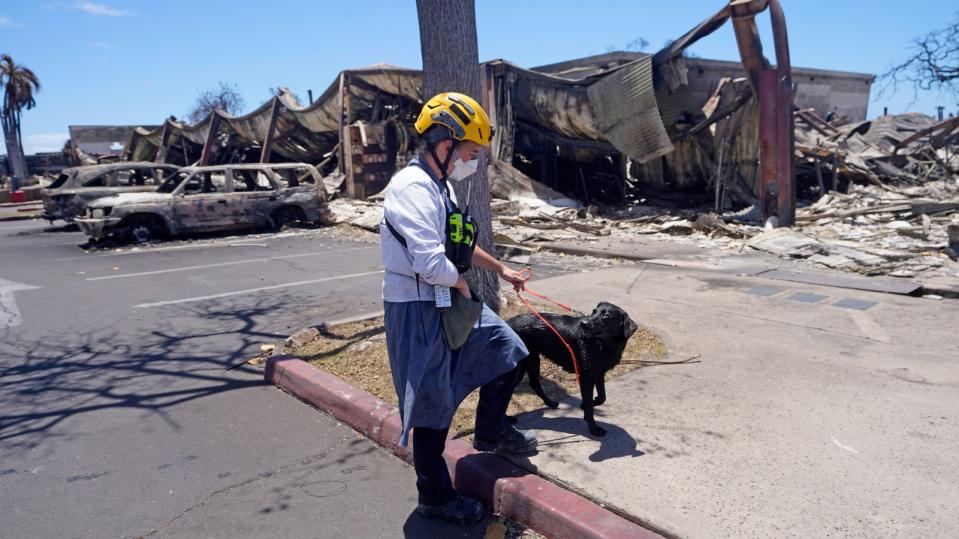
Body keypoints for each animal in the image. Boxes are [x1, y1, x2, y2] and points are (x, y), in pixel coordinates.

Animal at [510, 302, 636, 436]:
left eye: (606, 316)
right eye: (594, 311)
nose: (583, 323)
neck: (603, 345)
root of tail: (508, 322)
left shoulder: (598, 373)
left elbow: (602, 397)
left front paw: (588, 404)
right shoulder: (586, 378)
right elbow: (590, 405)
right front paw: (593, 428)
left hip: (532, 360)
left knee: (534, 384)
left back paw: (550, 403)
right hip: (519, 367)